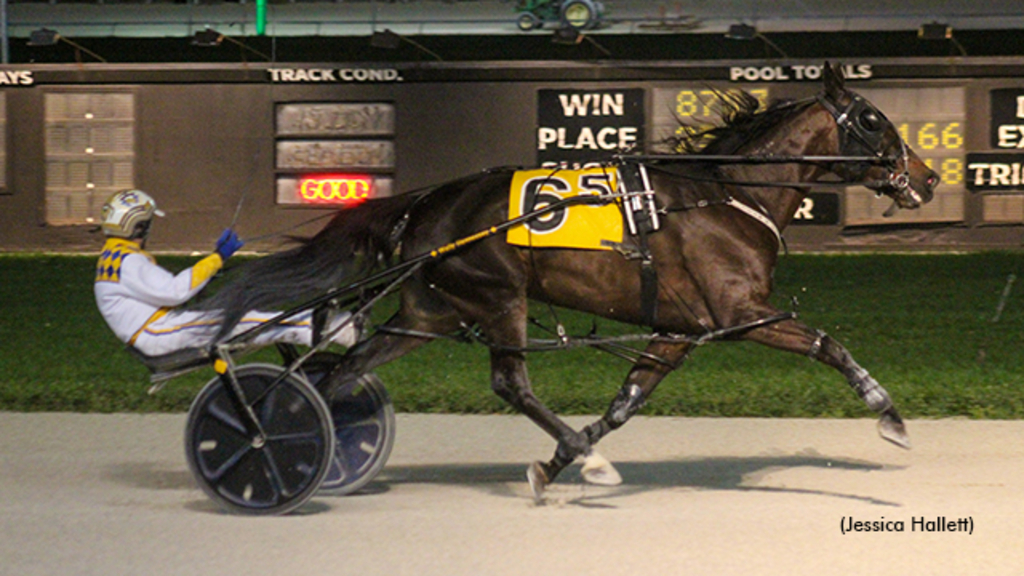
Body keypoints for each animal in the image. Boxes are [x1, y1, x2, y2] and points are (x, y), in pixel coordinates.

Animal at [203, 61, 937, 494]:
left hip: (428, 312)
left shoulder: (677, 330)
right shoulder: (740, 312)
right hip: (498, 294)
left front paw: (556, 462)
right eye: (872, 118)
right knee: (509, 381)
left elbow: (625, 403)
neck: (726, 195)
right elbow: (828, 345)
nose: (927, 177)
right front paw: (891, 416)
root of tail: (427, 203)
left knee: (338, 374)